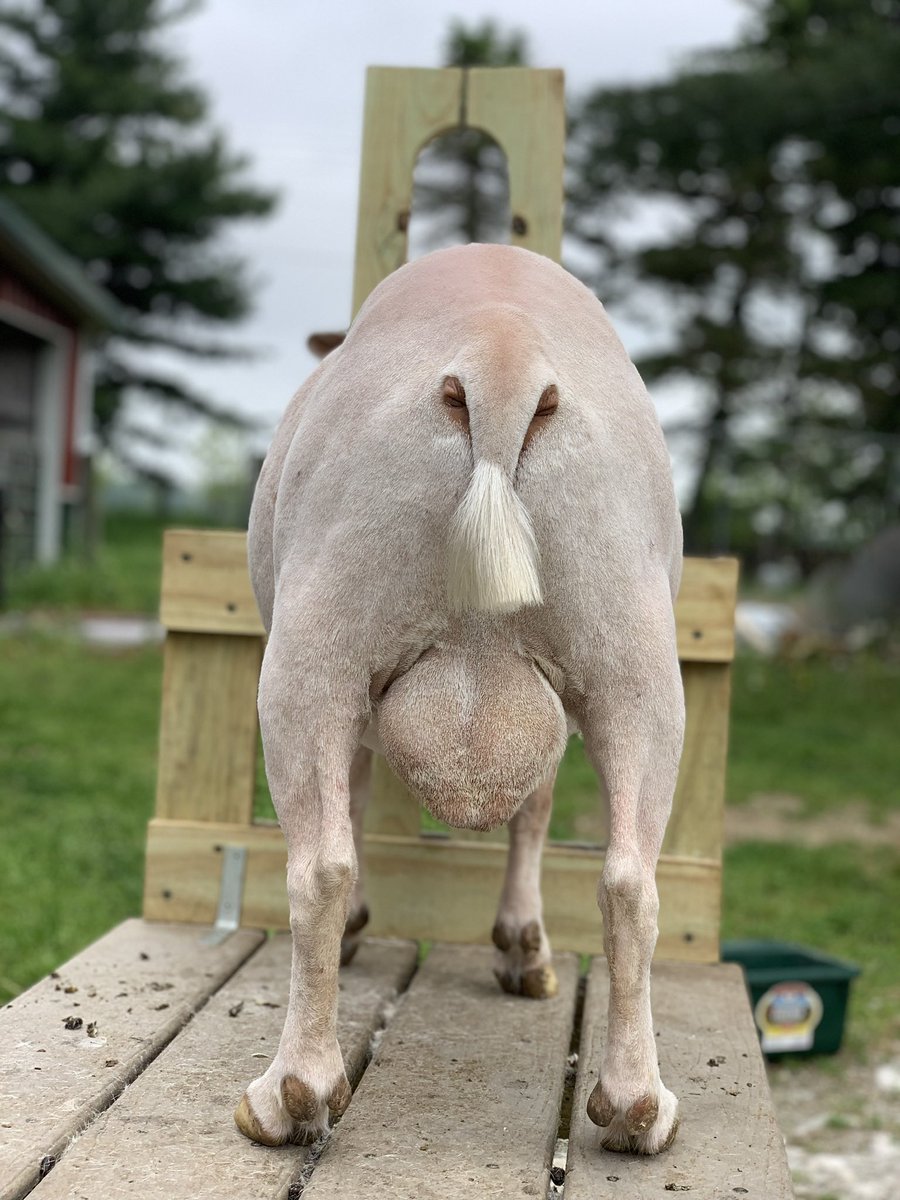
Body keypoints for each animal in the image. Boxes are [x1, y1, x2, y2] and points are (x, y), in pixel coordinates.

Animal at [235, 242, 684, 1155]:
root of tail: (499, 358)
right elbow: (536, 809)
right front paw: (522, 945)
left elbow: (359, 801)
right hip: (636, 661)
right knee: (630, 880)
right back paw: (635, 1103)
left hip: (314, 648)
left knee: (320, 864)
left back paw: (292, 1092)